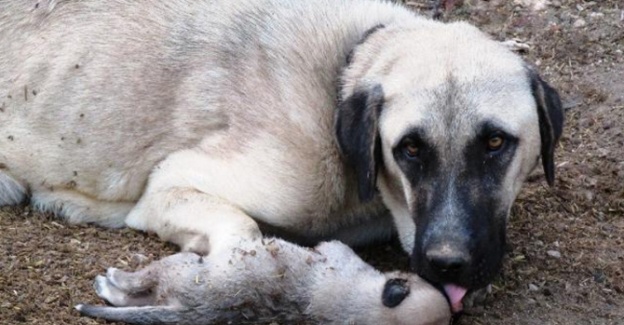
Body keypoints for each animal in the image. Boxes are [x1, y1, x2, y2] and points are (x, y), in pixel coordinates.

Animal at [0, 0, 564, 308]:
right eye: (409, 148)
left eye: (495, 143)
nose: (448, 265)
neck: (341, 73)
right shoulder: (170, 186)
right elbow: (243, 234)